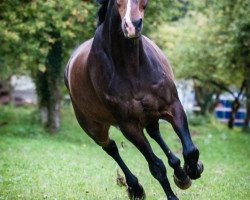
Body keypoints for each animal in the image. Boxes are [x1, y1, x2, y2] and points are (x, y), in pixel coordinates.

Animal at [64, 0, 203, 199]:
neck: (132, 69)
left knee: (154, 133)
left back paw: (180, 172)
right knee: (111, 148)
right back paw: (135, 187)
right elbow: (156, 167)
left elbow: (190, 150)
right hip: (94, 127)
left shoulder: (173, 106)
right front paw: (172, 193)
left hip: (150, 114)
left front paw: (192, 170)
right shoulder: (129, 126)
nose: (132, 26)